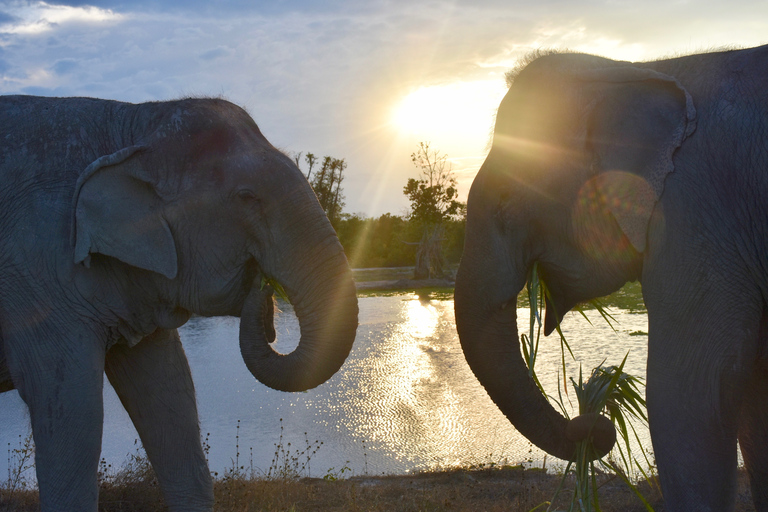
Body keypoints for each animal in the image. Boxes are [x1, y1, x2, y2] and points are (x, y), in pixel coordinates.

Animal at [0, 96, 358, 512]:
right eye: (247, 197)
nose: (263, 289)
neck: (133, 125)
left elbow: (171, 398)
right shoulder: (35, 280)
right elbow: (75, 414)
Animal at [452, 45, 768, 512]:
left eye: (507, 202)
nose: (594, 416)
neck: (637, 71)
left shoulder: (699, 221)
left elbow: (688, 396)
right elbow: (752, 395)